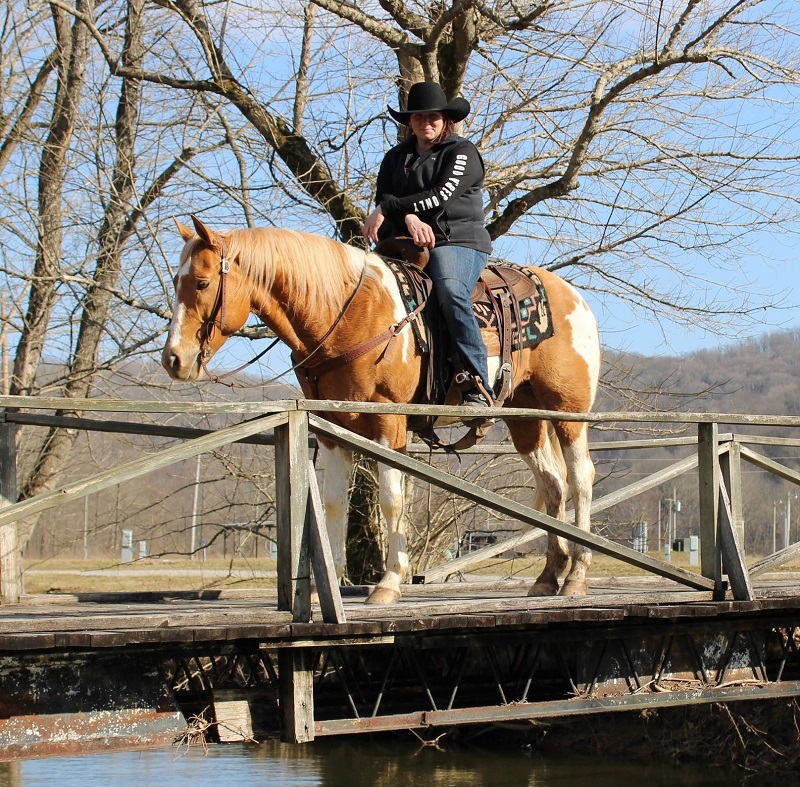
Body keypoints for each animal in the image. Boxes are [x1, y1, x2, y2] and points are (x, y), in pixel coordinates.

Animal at [162, 215, 601, 604]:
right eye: (176, 281)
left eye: (202, 282)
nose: (173, 360)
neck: (345, 312)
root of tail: (576, 298)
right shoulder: (331, 428)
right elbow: (334, 502)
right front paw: (329, 587)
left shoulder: (389, 422)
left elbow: (391, 498)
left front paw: (388, 583)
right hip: (526, 417)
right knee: (553, 483)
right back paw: (548, 576)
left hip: (569, 412)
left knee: (580, 477)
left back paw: (576, 576)